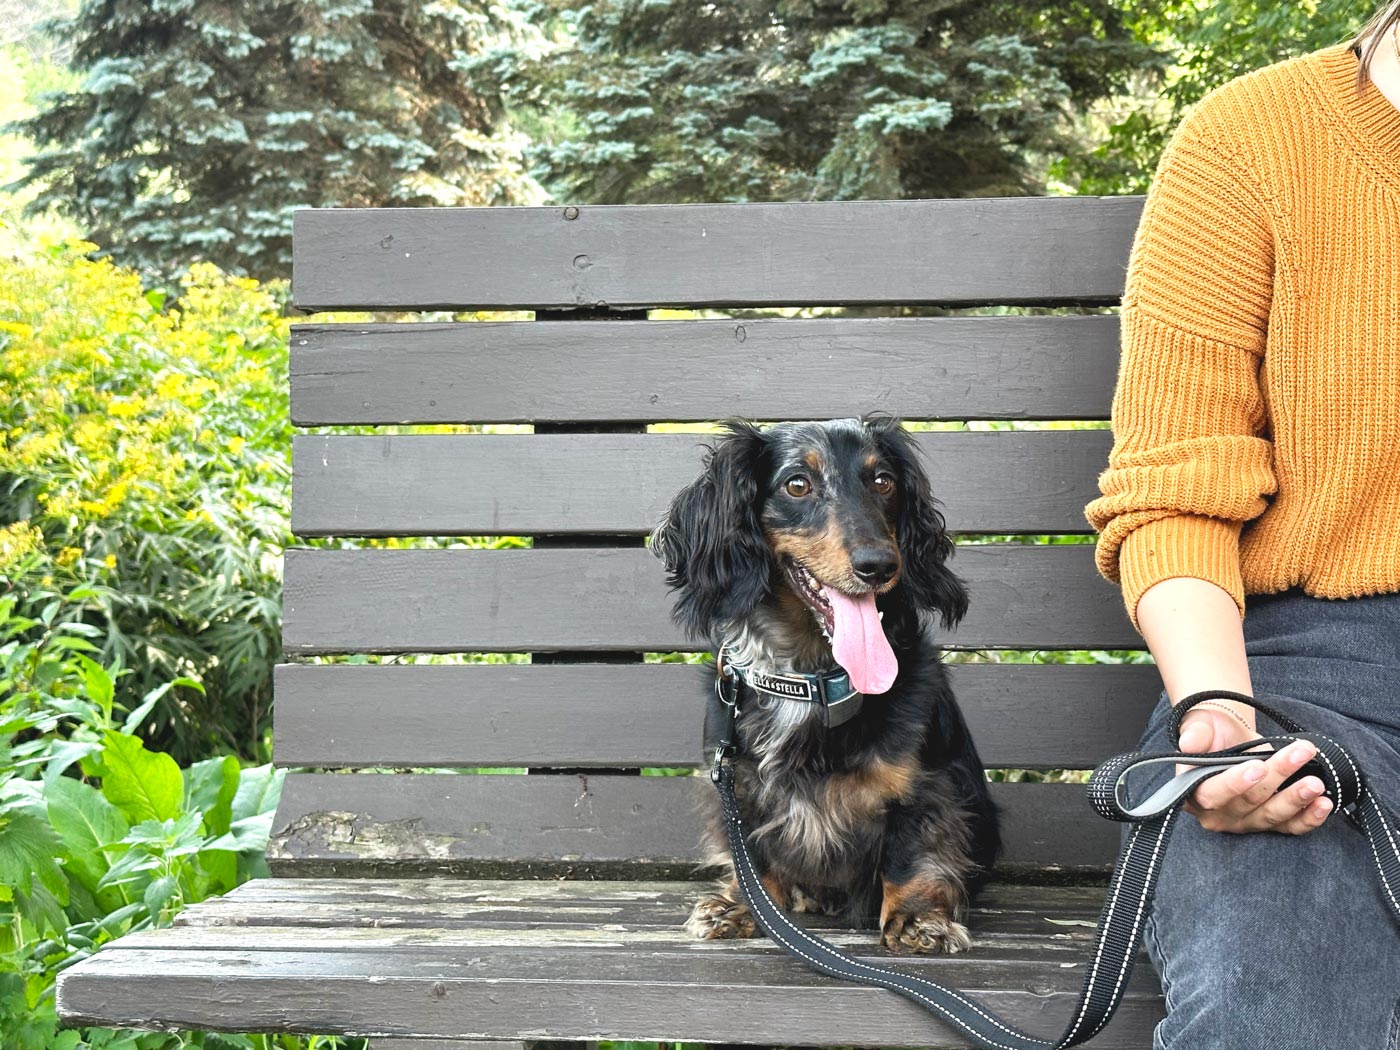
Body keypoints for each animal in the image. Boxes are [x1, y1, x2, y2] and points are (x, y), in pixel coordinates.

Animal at [649, 414, 1002, 957]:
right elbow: (753, 856)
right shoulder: (735, 784)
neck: (812, 676)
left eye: (884, 481)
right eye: (798, 484)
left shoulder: (928, 787)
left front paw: (918, 918)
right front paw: (743, 906)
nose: (879, 566)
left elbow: (912, 854)